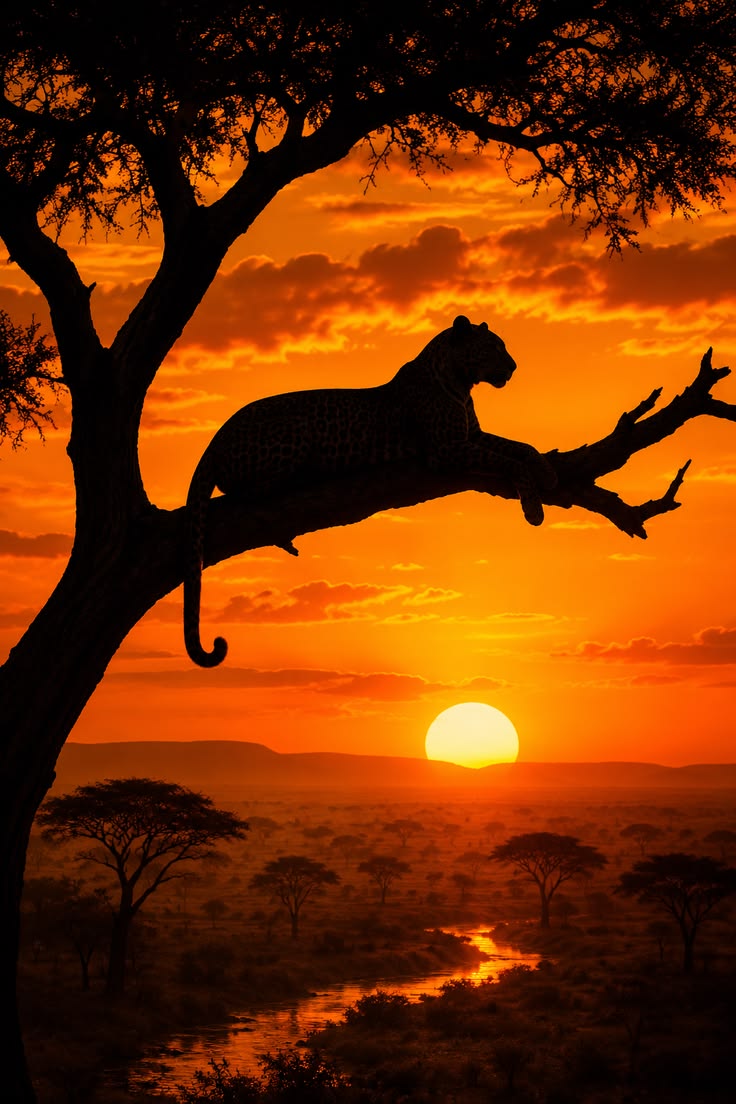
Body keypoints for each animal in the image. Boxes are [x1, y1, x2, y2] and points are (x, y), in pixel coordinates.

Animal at [183, 315, 556, 667]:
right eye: (492, 347)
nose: (513, 366)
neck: (461, 384)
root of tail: (215, 439)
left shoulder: (473, 436)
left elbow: (523, 447)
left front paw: (547, 474)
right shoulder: (447, 448)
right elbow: (512, 462)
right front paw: (534, 509)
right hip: (295, 430)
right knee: (245, 491)